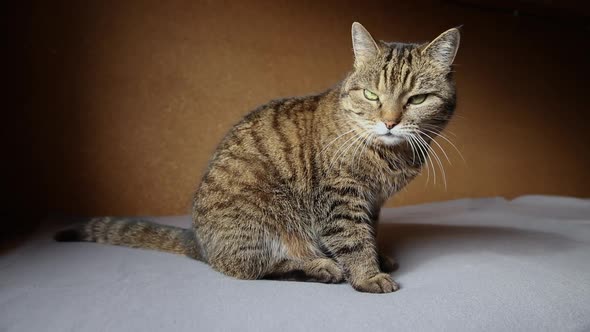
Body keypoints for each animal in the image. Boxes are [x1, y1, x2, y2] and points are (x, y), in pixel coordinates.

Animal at [55, 22, 460, 294]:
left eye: (417, 99)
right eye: (372, 95)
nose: (390, 121)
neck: (389, 152)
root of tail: (200, 243)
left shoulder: (372, 201)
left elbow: (369, 232)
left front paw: (378, 255)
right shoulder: (340, 196)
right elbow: (352, 238)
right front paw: (367, 273)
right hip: (265, 223)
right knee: (256, 267)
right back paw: (320, 268)